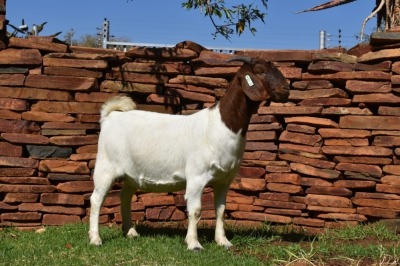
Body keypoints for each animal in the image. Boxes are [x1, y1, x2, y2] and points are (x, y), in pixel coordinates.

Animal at [89, 56, 290, 249]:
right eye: (260, 70)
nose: (286, 89)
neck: (220, 125)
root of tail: (110, 116)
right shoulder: (196, 176)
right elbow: (195, 211)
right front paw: (194, 244)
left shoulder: (224, 180)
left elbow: (221, 210)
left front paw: (223, 242)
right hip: (105, 167)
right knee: (96, 199)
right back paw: (95, 239)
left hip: (131, 174)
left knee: (125, 196)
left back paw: (130, 232)